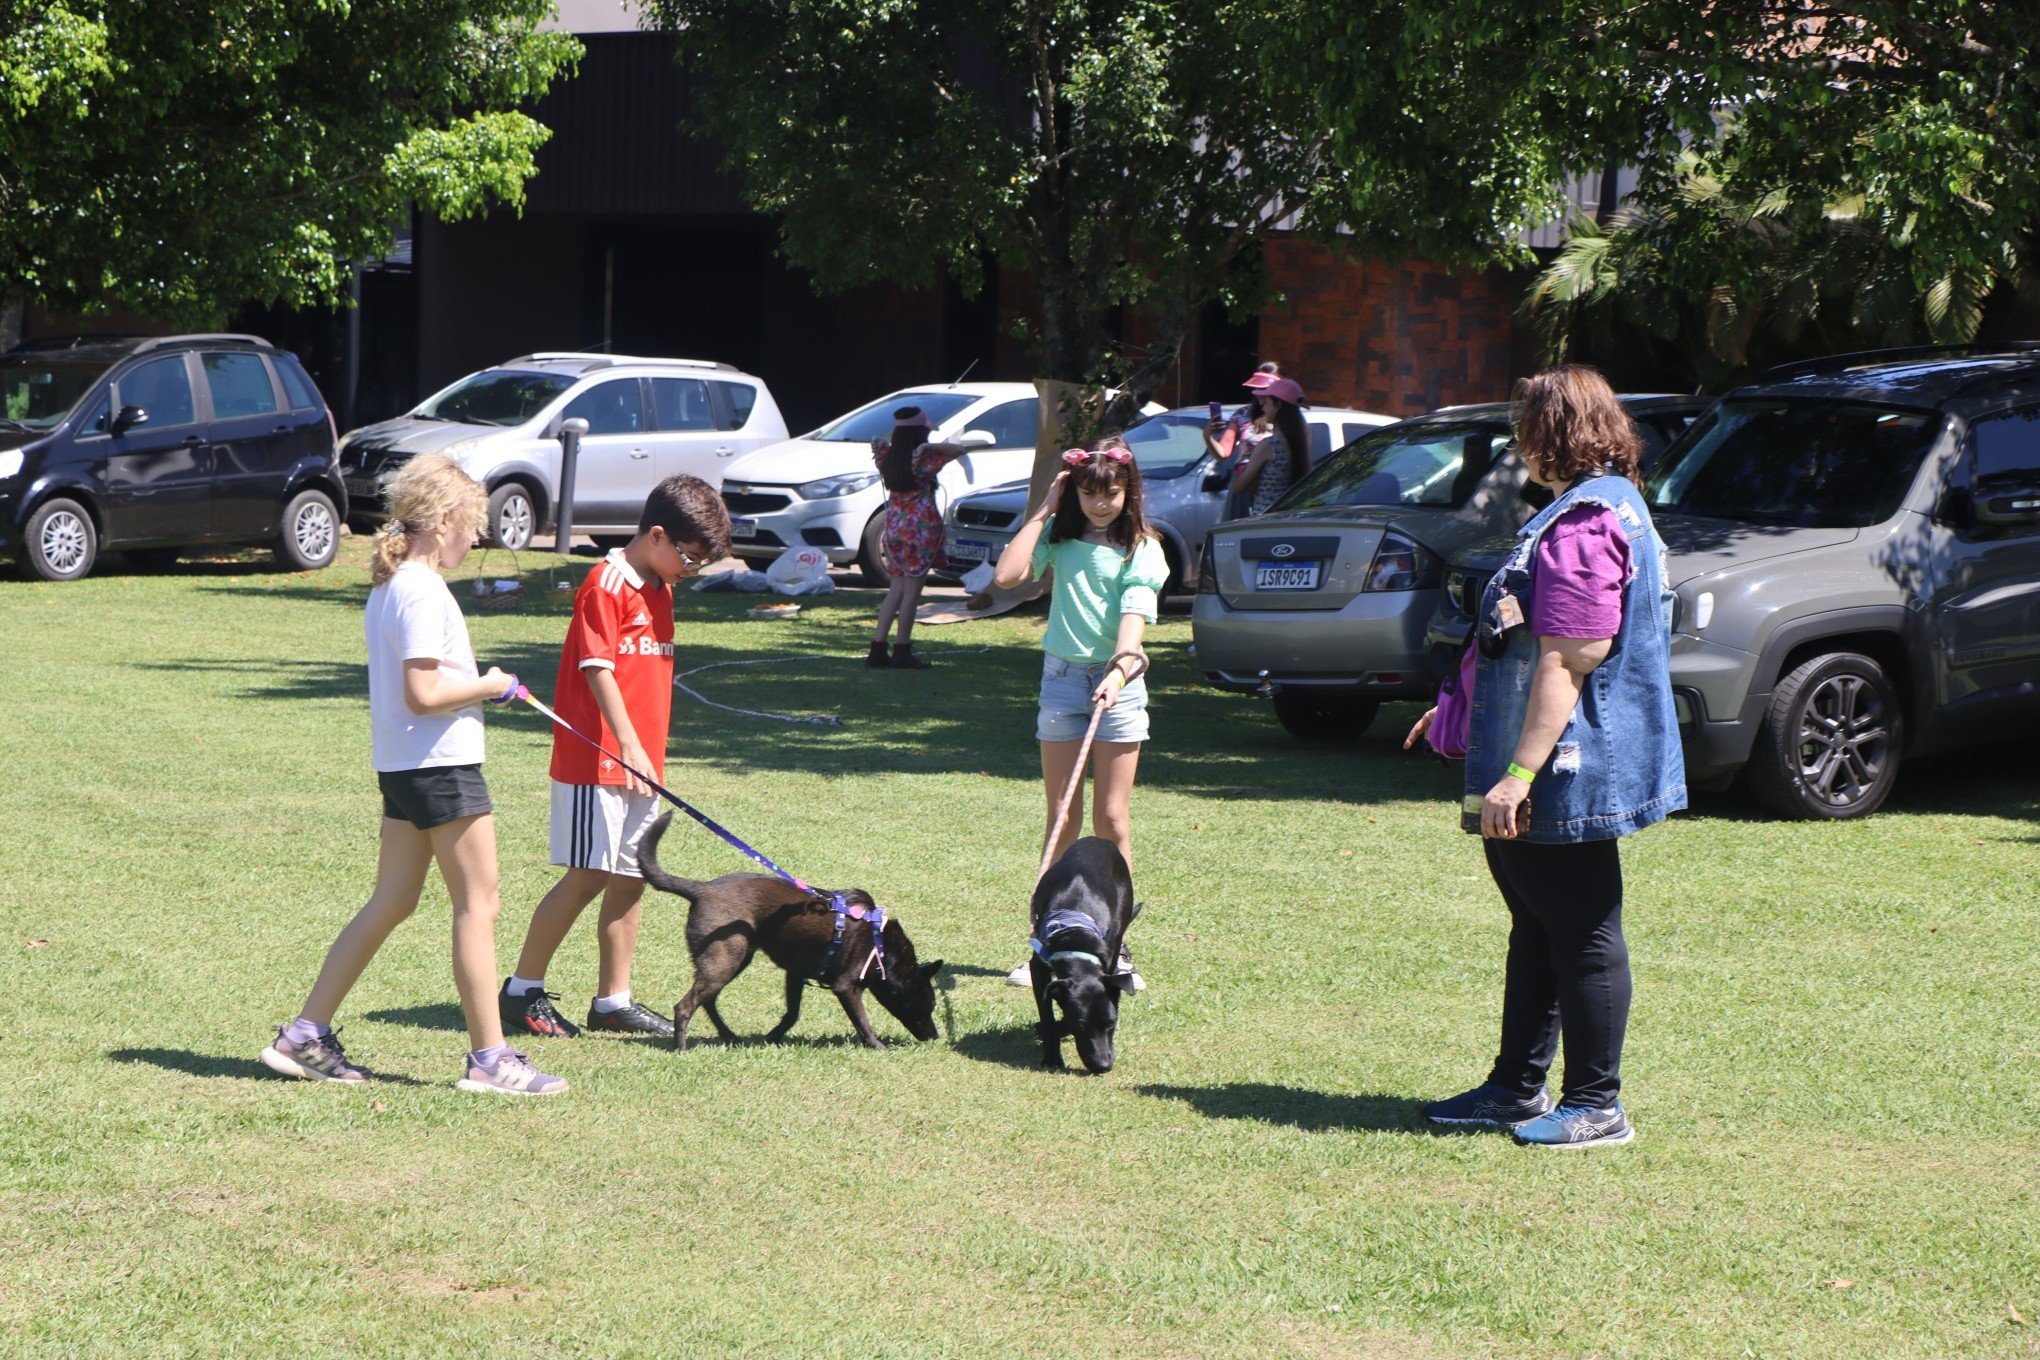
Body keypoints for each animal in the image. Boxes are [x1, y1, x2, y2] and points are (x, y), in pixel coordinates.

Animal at [640, 807, 942, 1052]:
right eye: (927, 1005)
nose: (935, 1036)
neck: (881, 947)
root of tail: (701, 889)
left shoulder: (796, 973)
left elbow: (792, 1013)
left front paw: (773, 1036)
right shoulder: (846, 987)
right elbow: (862, 1021)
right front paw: (877, 1045)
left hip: (735, 958)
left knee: (708, 1001)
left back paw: (730, 1036)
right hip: (724, 960)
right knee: (685, 1006)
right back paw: (681, 1048)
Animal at [1028, 835, 1142, 1076]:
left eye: (1111, 1023)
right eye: (1082, 1025)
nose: (1103, 1066)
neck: (1077, 939)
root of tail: (1097, 839)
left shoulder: (1108, 962)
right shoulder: (1038, 967)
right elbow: (1047, 1013)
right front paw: (1052, 1056)